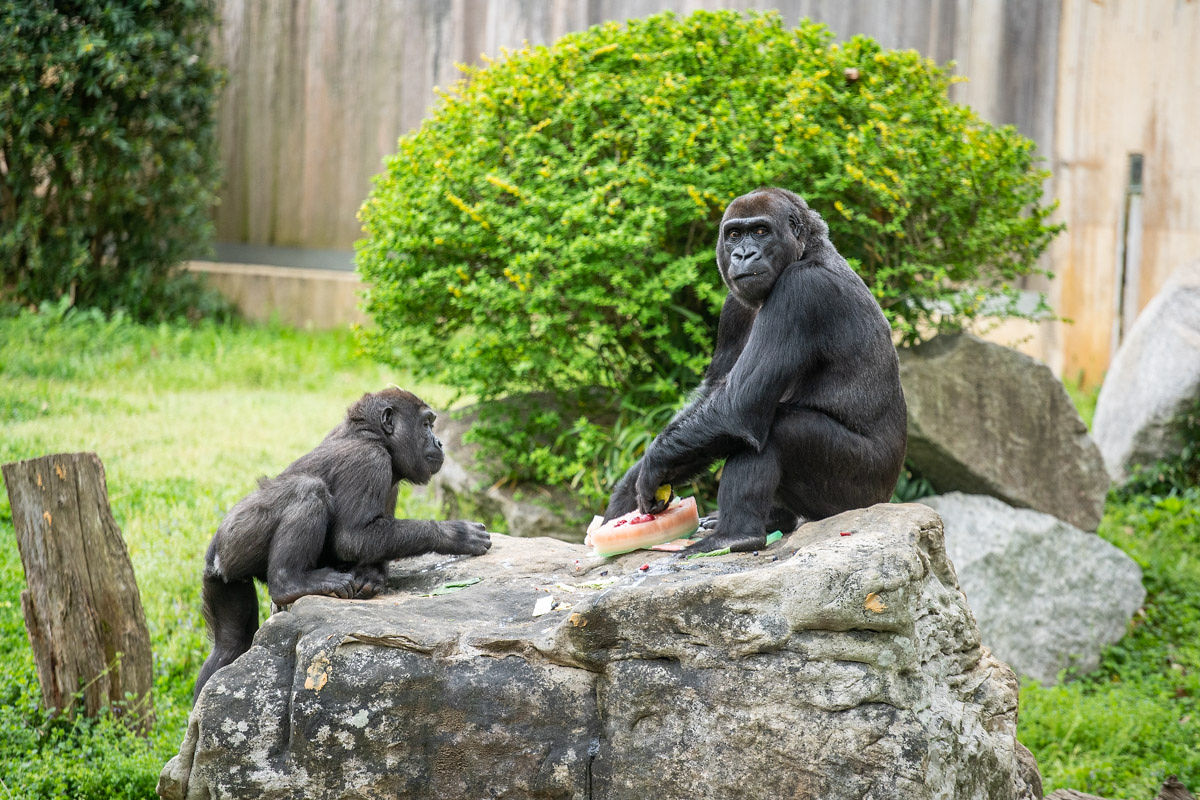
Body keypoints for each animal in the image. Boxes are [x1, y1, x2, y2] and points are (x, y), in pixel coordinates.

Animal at [195, 388, 492, 700]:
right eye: (426, 424)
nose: (439, 441)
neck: (373, 435)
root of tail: (214, 555)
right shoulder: (371, 461)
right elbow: (353, 537)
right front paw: (454, 534)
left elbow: (376, 537)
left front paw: (371, 577)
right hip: (238, 536)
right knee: (308, 489)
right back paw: (290, 583)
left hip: (224, 576)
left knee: (230, 643)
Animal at [604, 185, 902, 556]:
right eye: (734, 235)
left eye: (761, 231)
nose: (743, 255)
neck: (807, 250)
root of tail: (885, 499)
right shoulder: (733, 304)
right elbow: (714, 393)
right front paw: (628, 487)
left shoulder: (800, 290)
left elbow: (737, 406)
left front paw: (653, 465)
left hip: (858, 498)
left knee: (777, 428)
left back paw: (736, 535)